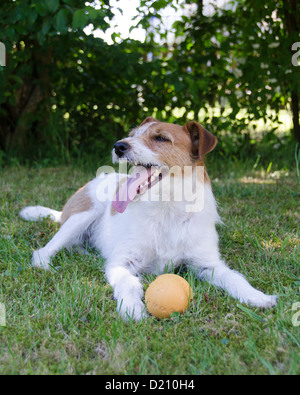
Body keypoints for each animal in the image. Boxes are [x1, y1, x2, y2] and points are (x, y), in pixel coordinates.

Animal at [18, 116, 278, 320]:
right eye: (133, 135)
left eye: (161, 138)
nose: (118, 146)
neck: (168, 208)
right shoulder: (122, 262)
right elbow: (128, 282)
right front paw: (132, 309)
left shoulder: (207, 264)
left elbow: (234, 278)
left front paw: (257, 297)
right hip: (83, 215)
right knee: (43, 251)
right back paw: (47, 265)